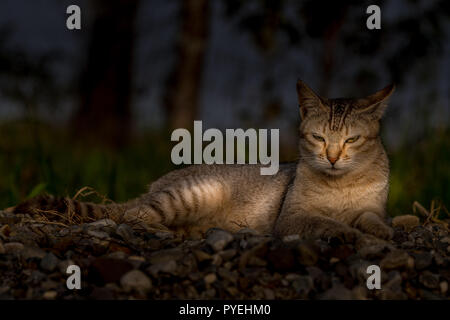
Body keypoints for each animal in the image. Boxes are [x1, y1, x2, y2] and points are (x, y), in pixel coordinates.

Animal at [13, 80, 394, 242]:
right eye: (319, 138)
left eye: (351, 140)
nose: (332, 157)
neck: (342, 185)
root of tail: (156, 184)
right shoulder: (293, 217)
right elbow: (325, 222)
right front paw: (347, 231)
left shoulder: (371, 207)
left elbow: (372, 218)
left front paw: (380, 230)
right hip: (191, 194)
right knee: (130, 216)